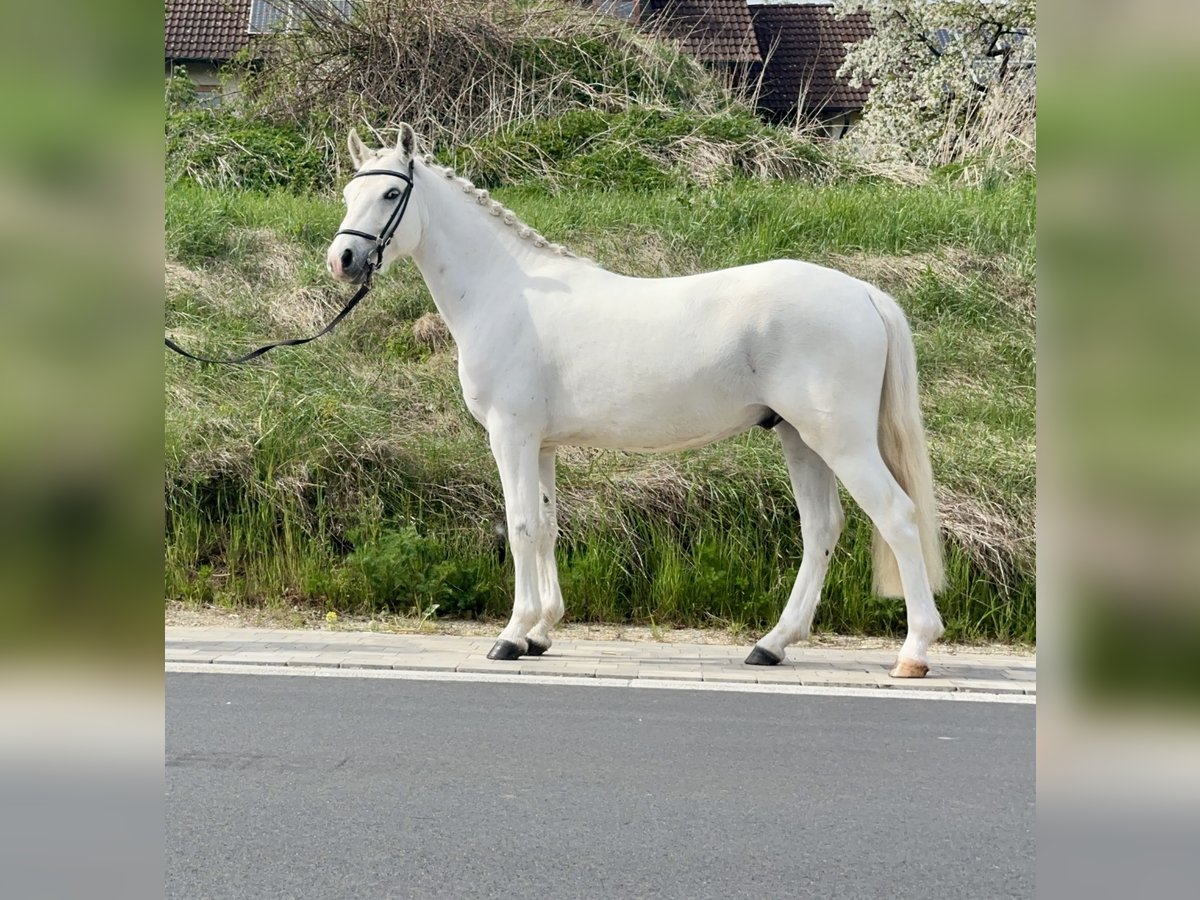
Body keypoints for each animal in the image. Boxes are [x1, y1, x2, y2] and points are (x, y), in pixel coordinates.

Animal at [328, 125, 945, 676]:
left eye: (390, 194)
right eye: (348, 194)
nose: (343, 260)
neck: (507, 293)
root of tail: (863, 292)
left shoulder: (512, 434)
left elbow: (521, 525)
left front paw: (510, 634)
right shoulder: (543, 445)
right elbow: (546, 527)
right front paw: (540, 633)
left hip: (840, 441)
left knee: (896, 516)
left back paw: (913, 650)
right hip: (801, 439)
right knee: (821, 529)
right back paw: (772, 645)